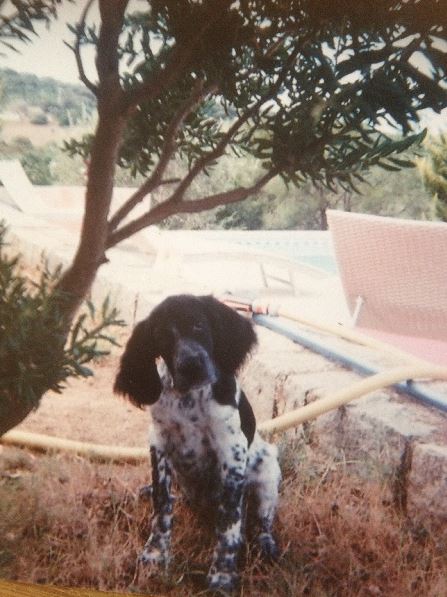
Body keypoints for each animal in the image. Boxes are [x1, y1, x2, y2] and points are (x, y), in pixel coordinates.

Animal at [114, 294, 281, 593]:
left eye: (199, 325)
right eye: (161, 337)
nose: (191, 365)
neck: (189, 399)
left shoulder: (231, 451)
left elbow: (229, 521)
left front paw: (222, 576)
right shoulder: (159, 444)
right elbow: (162, 505)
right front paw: (155, 554)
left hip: (268, 472)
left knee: (263, 519)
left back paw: (265, 544)